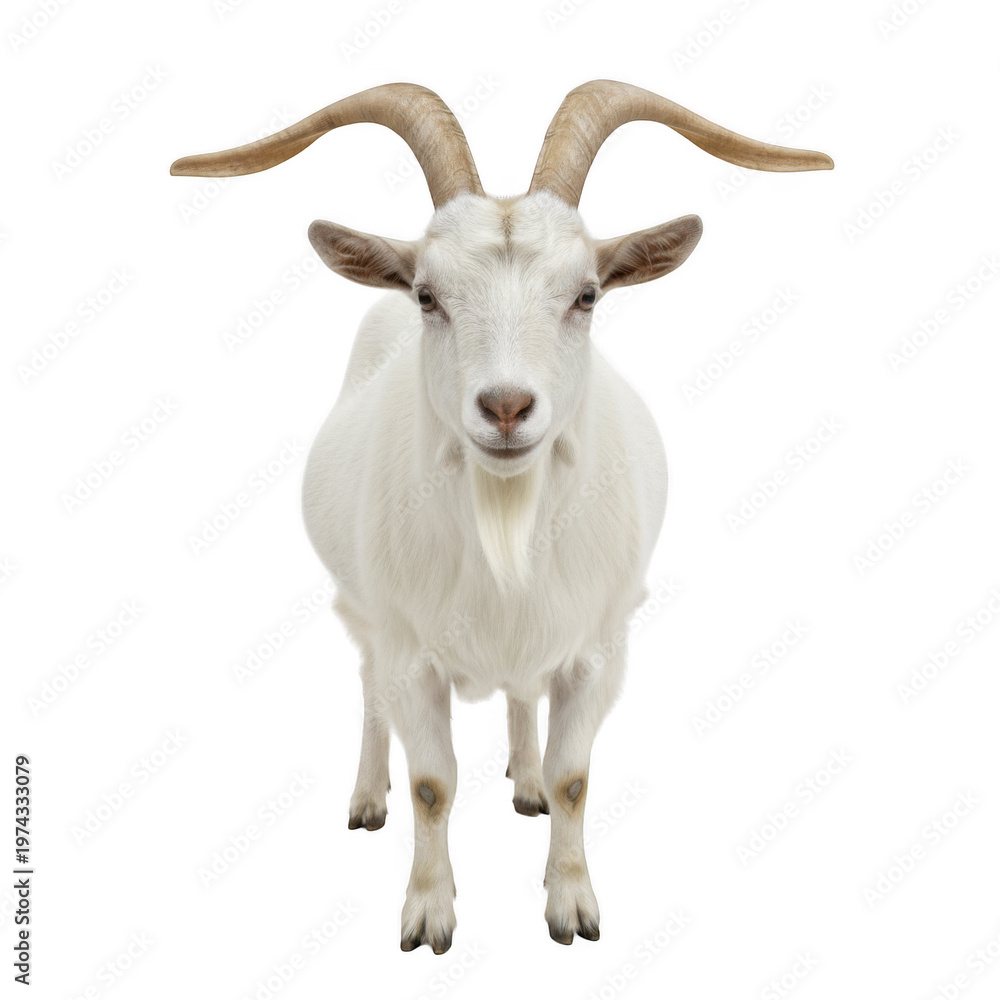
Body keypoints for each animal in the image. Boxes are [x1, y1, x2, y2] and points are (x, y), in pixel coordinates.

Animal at [171, 80, 832, 953]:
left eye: (587, 294)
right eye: (428, 295)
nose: (508, 407)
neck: (504, 522)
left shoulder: (598, 648)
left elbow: (574, 776)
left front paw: (571, 904)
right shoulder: (408, 650)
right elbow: (430, 783)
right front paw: (428, 914)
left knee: (522, 701)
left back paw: (524, 784)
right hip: (361, 610)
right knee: (368, 692)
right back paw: (367, 798)